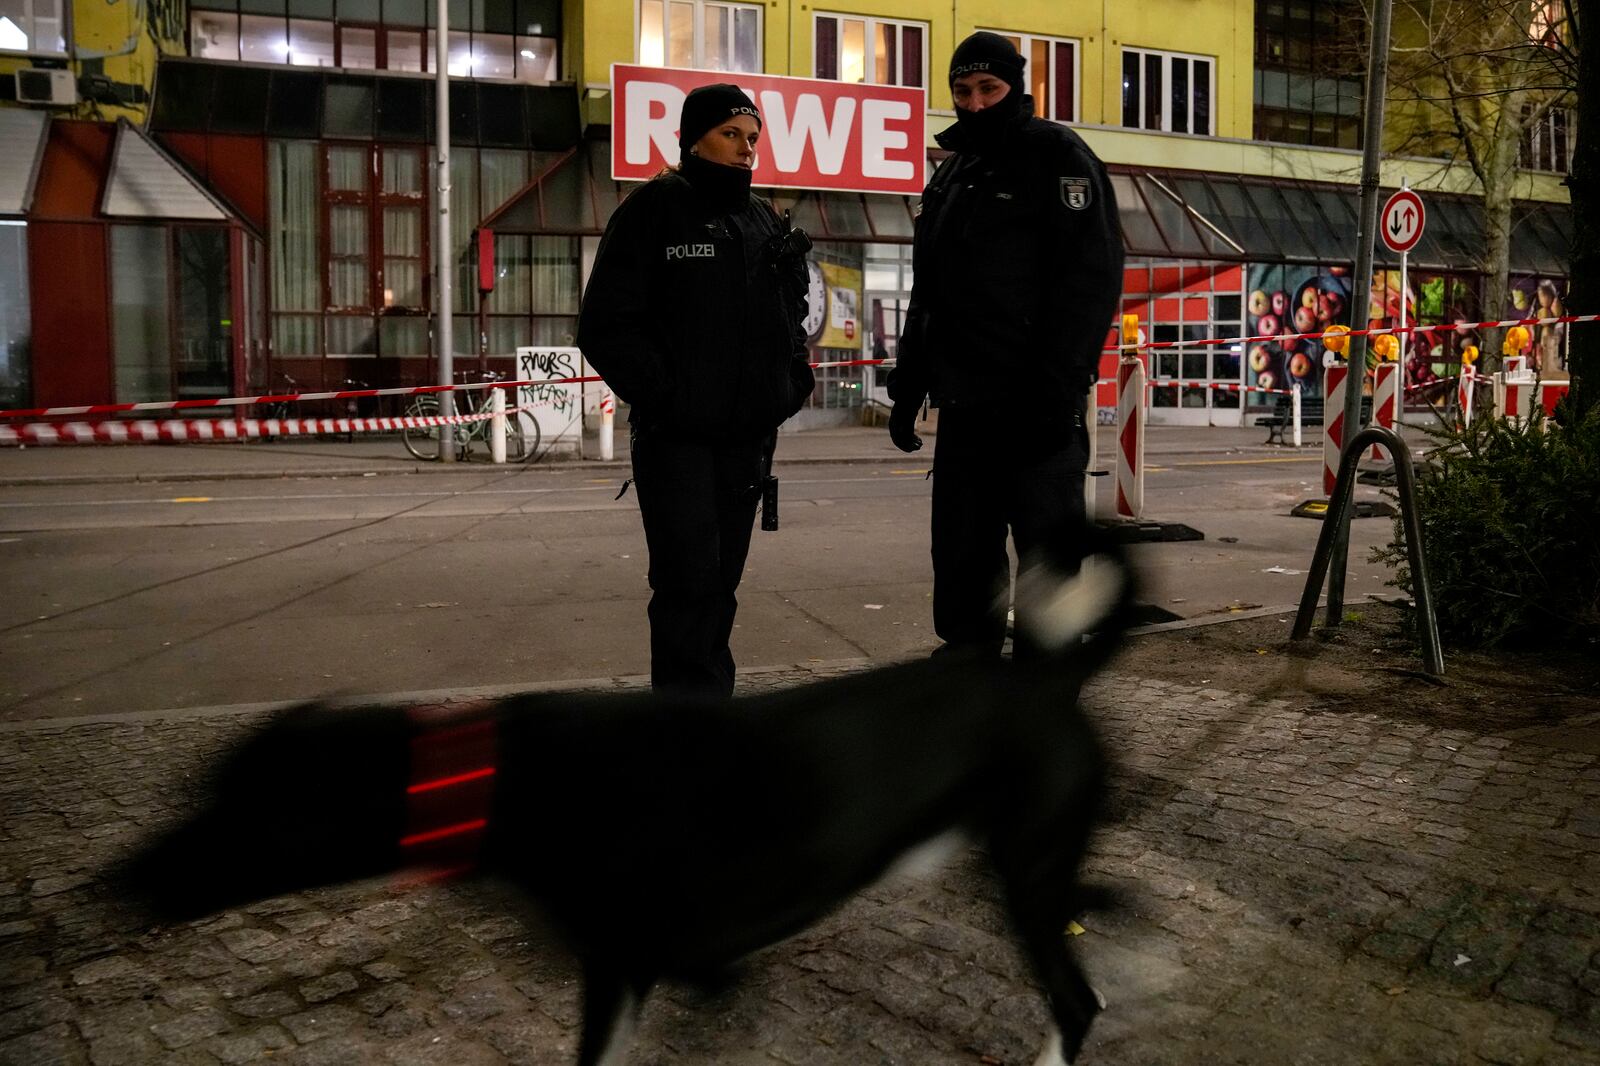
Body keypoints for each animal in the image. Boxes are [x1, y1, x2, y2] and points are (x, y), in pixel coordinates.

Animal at [116, 541, 1139, 1062]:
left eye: (248, 809)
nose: (119, 883)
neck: (502, 776)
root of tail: (1050, 677)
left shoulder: (618, 966)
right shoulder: (667, 957)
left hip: (1028, 871)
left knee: (1077, 1000)